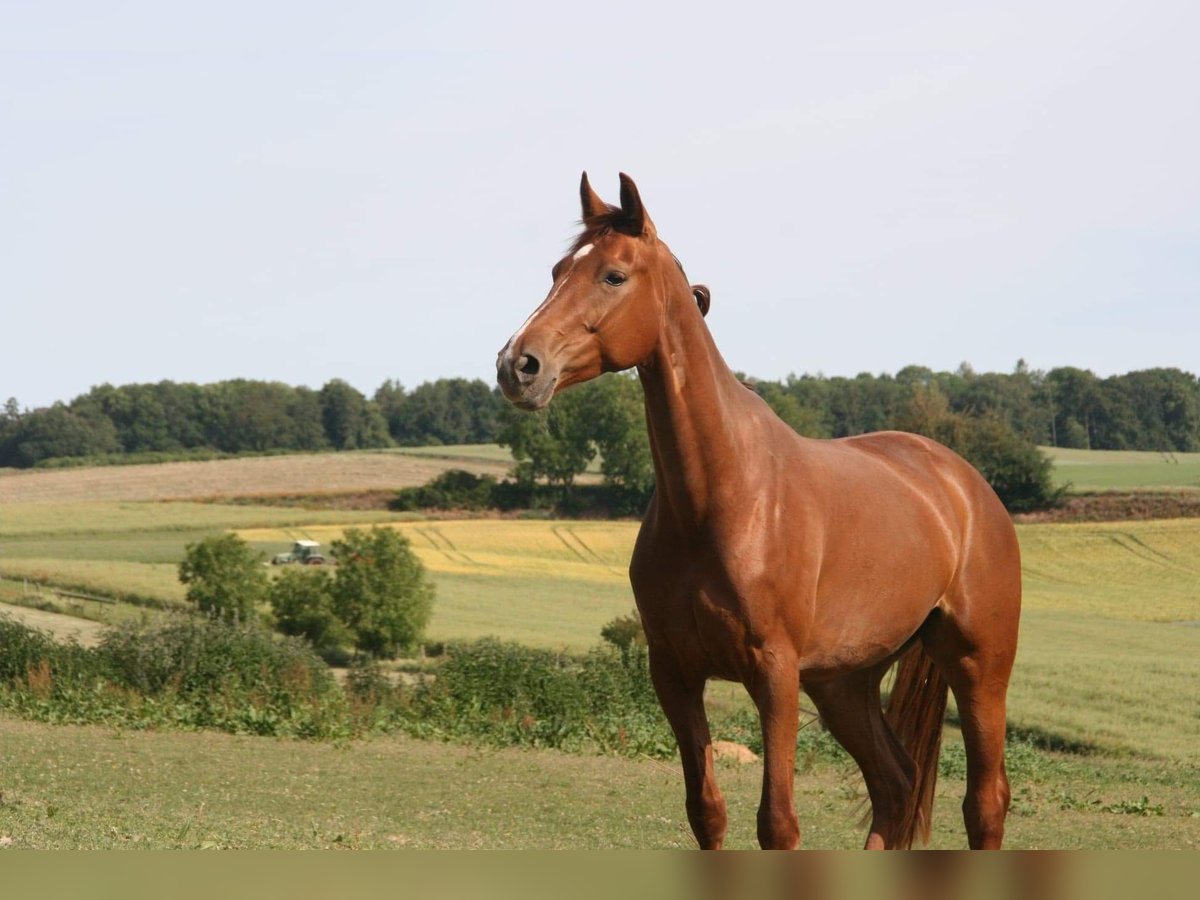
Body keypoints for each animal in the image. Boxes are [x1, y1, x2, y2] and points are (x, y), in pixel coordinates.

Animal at [496, 170, 1022, 854]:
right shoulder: (675, 674)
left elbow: (777, 822)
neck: (723, 497)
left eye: (612, 275)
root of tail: (965, 486)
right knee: (895, 783)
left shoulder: (774, 674)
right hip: (844, 682)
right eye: (558, 269)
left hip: (977, 666)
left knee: (984, 803)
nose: (517, 365)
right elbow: (707, 811)